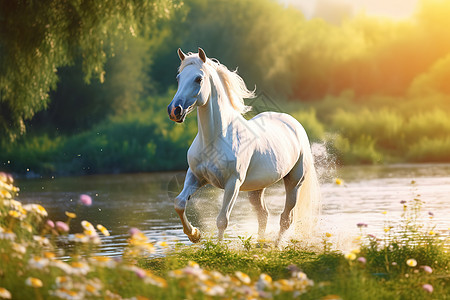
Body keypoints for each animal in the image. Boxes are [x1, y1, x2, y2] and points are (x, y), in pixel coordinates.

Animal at [168, 47, 320, 244]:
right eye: (179, 78)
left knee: (286, 218)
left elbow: (222, 220)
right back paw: (259, 245)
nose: (174, 110)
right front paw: (195, 235)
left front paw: (217, 248)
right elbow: (179, 203)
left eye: (198, 79)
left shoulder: (233, 184)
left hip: (294, 183)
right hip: (256, 190)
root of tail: (294, 124)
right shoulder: (195, 176)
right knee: (264, 215)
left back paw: (276, 246)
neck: (214, 139)